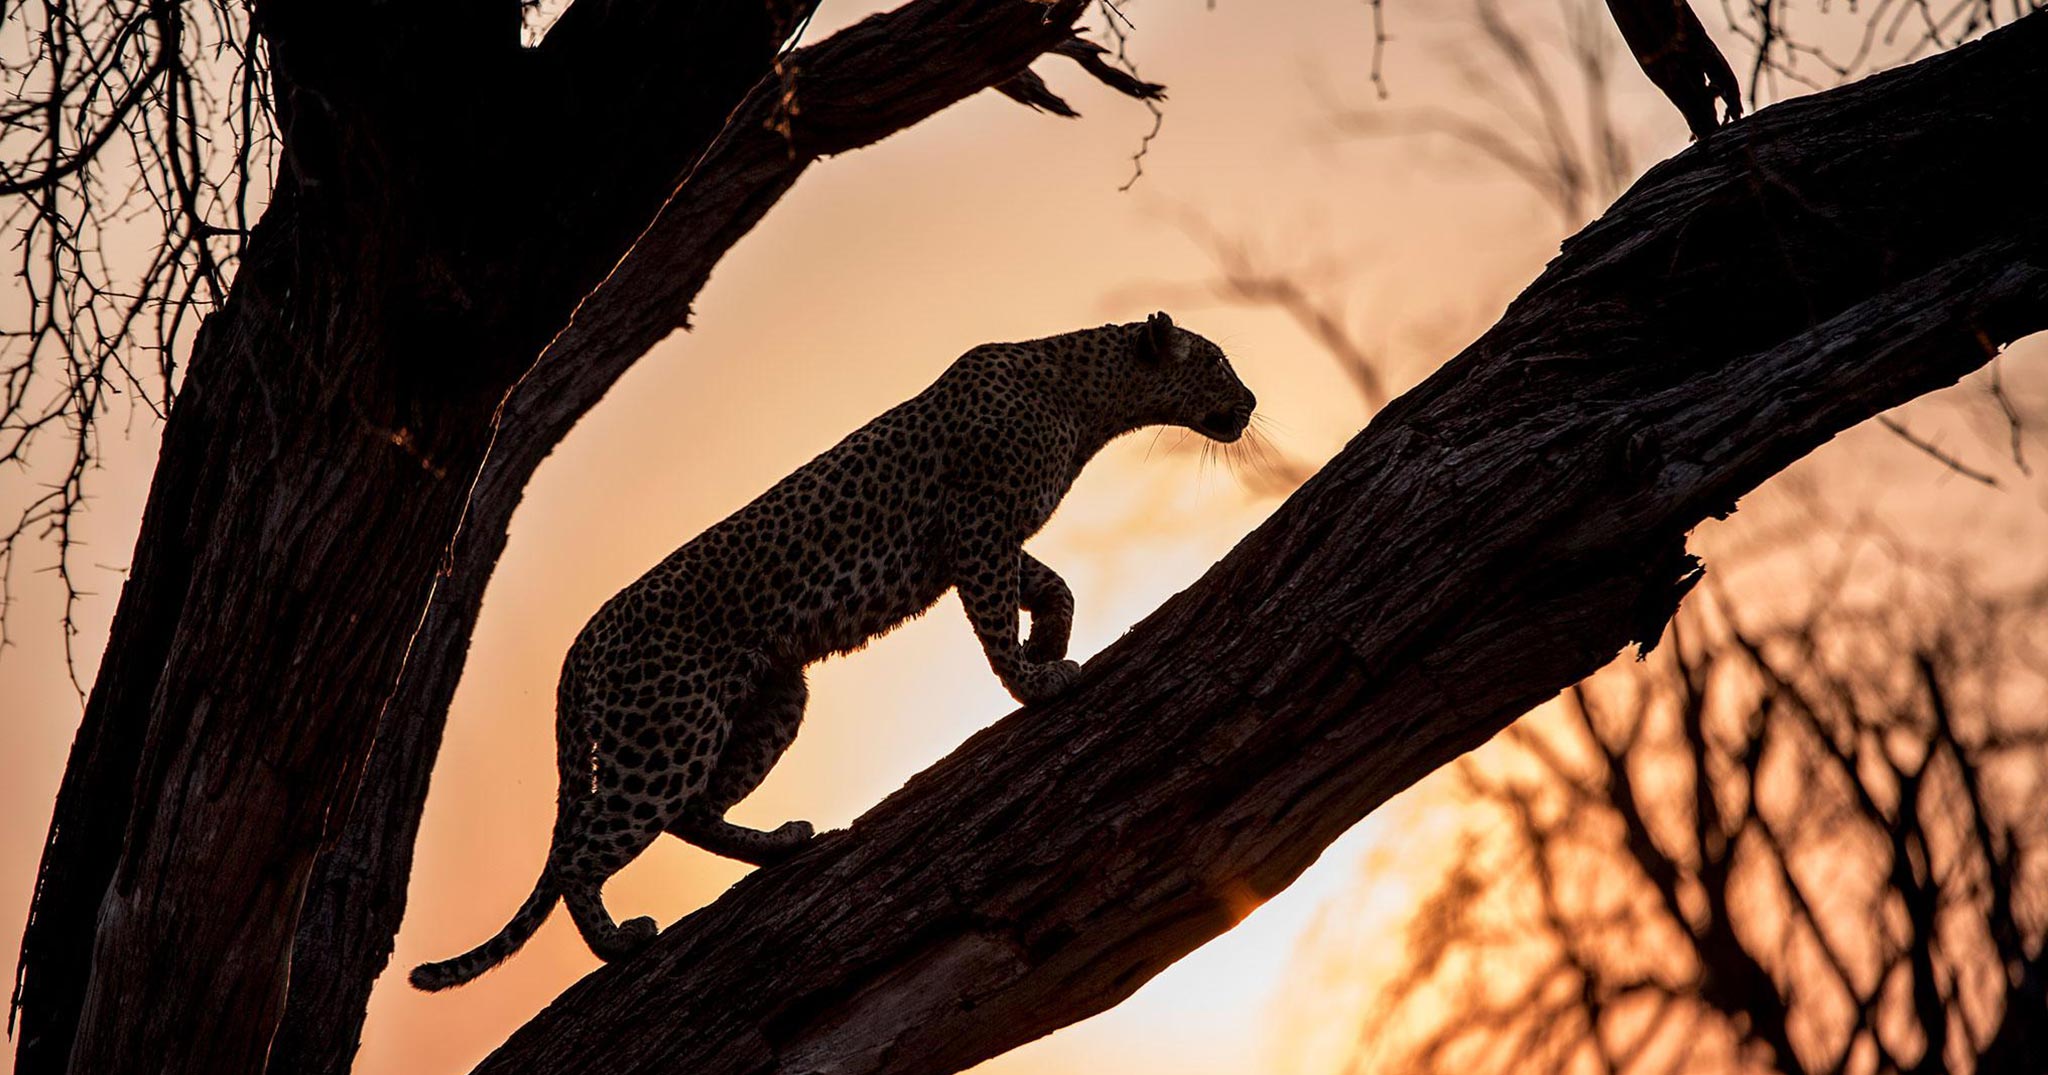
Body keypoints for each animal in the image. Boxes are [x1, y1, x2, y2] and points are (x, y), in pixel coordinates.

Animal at [407, 309, 1253, 991]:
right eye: (1216, 360)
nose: (1249, 404)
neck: (1086, 397)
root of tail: (579, 643)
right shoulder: (975, 529)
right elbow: (993, 625)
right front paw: (1035, 682)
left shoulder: (988, 541)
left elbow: (1055, 588)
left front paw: (1051, 642)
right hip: (663, 734)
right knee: (585, 846)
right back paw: (619, 942)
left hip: (771, 698)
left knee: (695, 809)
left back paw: (778, 846)